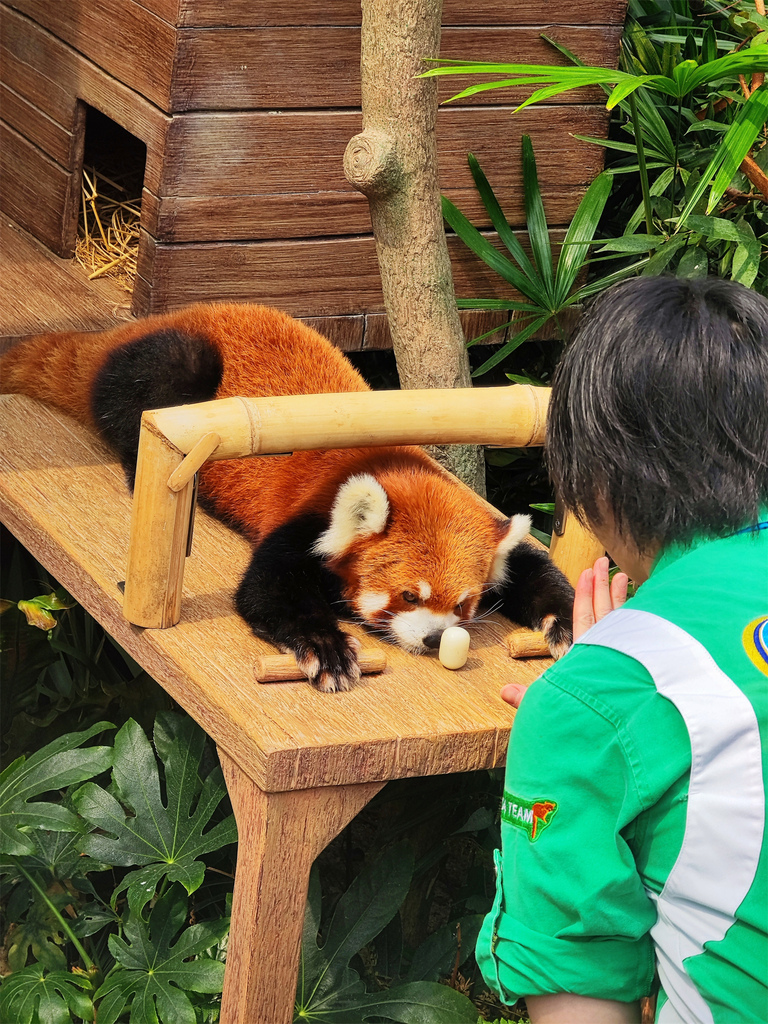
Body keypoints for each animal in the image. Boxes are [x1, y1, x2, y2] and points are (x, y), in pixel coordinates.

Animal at [1, 301, 577, 688]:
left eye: (463, 604)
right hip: (175, 364)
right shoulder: (309, 516)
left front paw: (567, 620)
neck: (396, 466)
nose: (436, 639)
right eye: (409, 596)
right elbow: (265, 591)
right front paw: (326, 647)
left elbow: (535, 571)